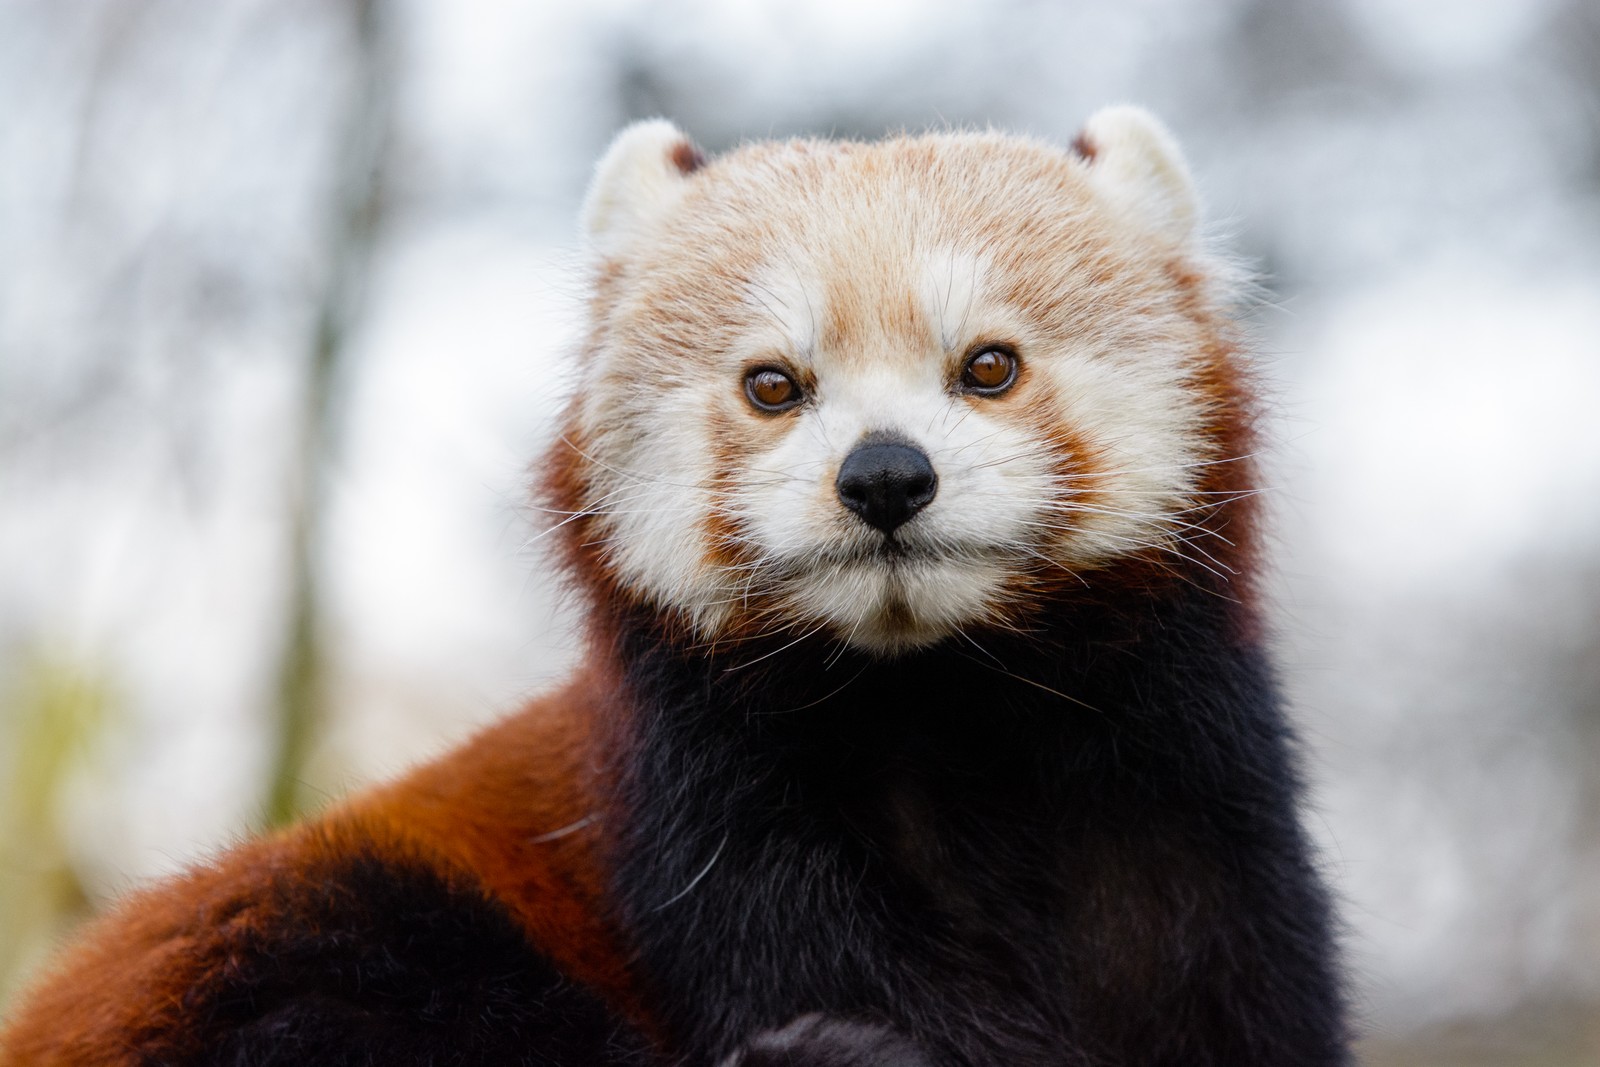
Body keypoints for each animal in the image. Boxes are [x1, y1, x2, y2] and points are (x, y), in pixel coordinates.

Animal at [0, 110, 1350, 1067]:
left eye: (988, 366)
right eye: (773, 384)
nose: (884, 474)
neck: (938, 726)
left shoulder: (1194, 843)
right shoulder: (716, 844)